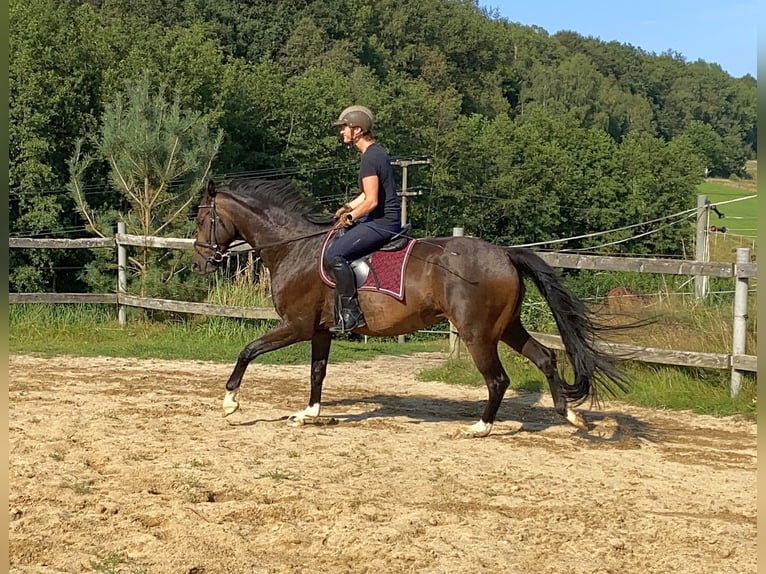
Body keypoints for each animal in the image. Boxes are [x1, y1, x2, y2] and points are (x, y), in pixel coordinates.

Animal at [192, 178, 632, 438]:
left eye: (201, 219)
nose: (199, 262)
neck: (294, 248)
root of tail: (504, 253)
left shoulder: (296, 326)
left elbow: (248, 351)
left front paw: (230, 403)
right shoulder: (318, 330)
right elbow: (317, 373)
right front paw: (310, 413)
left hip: (476, 333)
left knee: (498, 379)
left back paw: (481, 427)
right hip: (506, 326)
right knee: (545, 357)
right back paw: (569, 415)